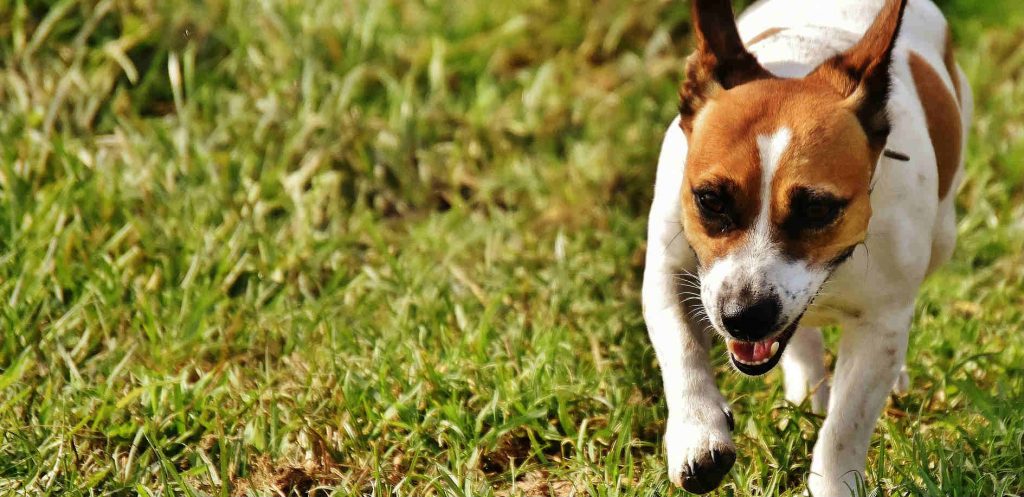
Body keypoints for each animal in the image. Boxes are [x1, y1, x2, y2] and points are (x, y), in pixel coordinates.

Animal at [643, 0, 970, 491]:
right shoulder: (669, 271)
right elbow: (682, 353)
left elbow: (847, 423)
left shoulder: (881, 323)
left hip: (943, 238)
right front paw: (698, 437)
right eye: (710, 200)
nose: (744, 317)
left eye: (817, 209)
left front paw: (833, 483)